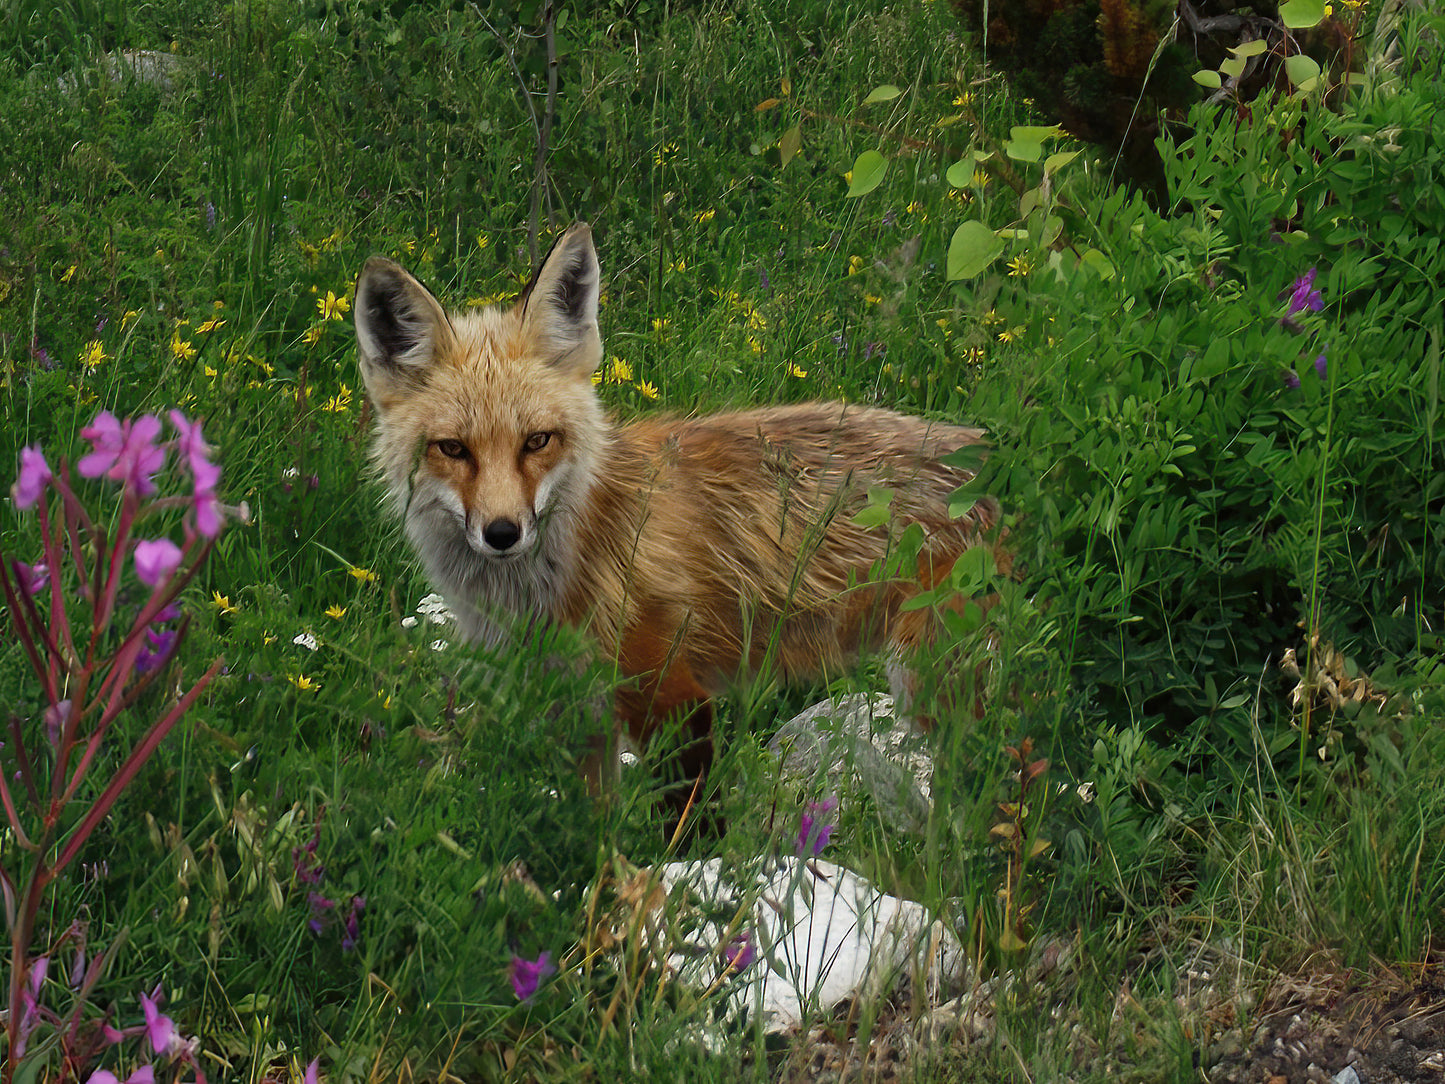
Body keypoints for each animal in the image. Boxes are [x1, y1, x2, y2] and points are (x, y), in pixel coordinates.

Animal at [355, 229, 999, 803]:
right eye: (452, 448)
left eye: (537, 441)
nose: (502, 534)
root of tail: (992, 455)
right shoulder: (580, 717)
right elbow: (598, 834)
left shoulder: (672, 697)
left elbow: (689, 826)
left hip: (932, 690)